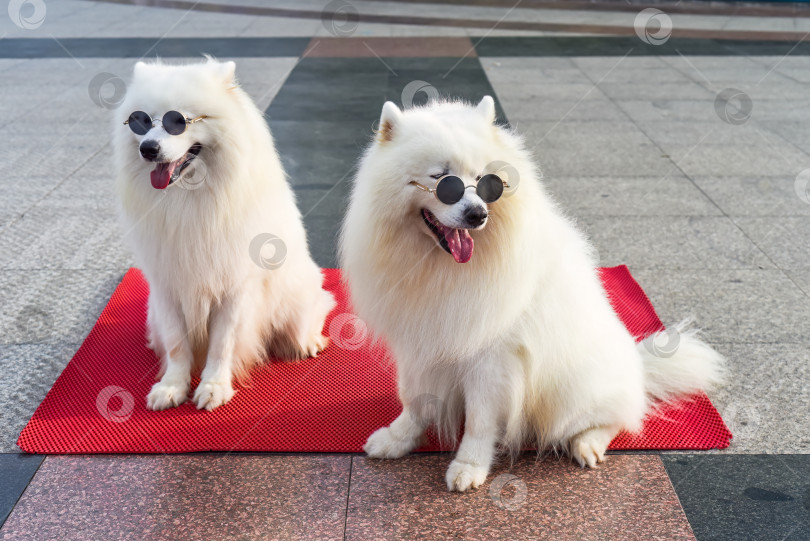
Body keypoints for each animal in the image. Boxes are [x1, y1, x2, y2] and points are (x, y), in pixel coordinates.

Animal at [113, 59, 334, 412]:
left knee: (315, 313)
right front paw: (172, 386)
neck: (189, 199)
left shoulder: (234, 286)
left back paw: (307, 342)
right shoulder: (167, 284)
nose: (148, 149)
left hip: (299, 296)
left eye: (178, 122)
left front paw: (214, 387)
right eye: (140, 122)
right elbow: (176, 343)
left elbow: (222, 343)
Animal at [338, 96, 724, 490]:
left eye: (485, 182)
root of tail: (638, 366)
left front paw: (469, 466)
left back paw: (588, 443)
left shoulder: (491, 356)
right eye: (441, 179)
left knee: (619, 418)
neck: (439, 269)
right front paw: (397, 439)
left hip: (575, 391)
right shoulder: (417, 342)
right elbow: (414, 401)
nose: (477, 214)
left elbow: (479, 420)